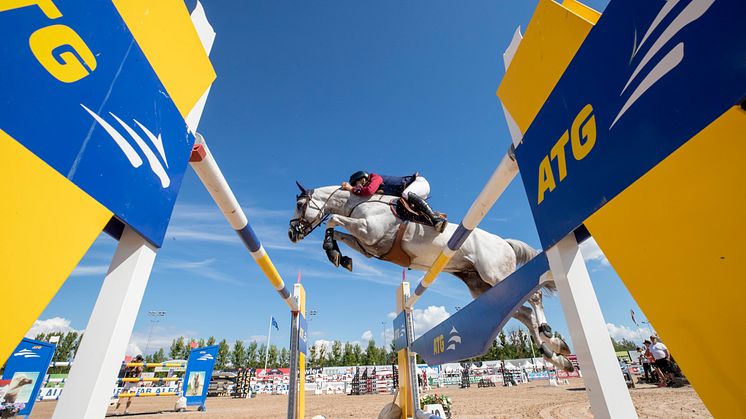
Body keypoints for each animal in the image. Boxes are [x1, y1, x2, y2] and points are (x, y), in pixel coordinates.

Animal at [288, 184, 572, 370]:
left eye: (300, 205)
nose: (292, 234)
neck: (359, 203)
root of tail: (504, 242)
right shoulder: (367, 244)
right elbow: (339, 231)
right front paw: (338, 255)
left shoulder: (368, 230)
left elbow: (333, 219)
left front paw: (332, 250)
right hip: (481, 285)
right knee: (523, 313)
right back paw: (555, 353)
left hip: (496, 273)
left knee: (534, 297)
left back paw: (549, 334)